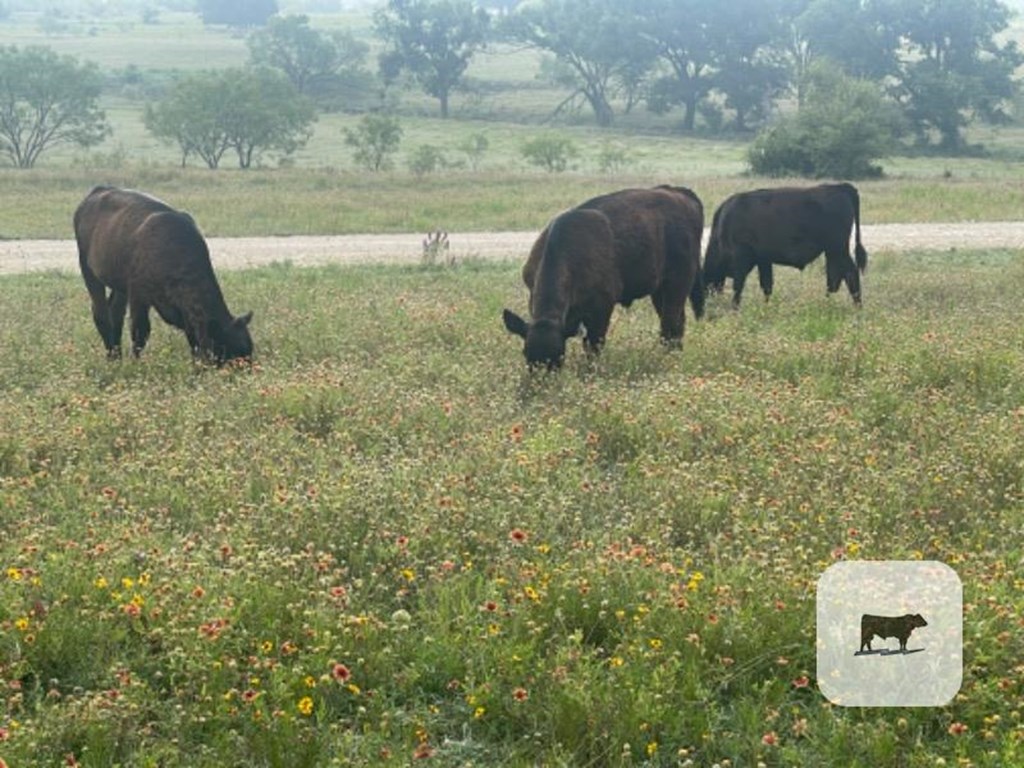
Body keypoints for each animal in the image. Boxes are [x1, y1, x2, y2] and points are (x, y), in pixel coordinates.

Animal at [74, 187, 253, 366]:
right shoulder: (138, 295)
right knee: (101, 313)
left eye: (249, 350)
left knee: (115, 313)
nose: (248, 369)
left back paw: (116, 357)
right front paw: (135, 364)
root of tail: (99, 190)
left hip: (119, 284)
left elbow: (192, 338)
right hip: (87, 268)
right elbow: (140, 332)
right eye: (227, 350)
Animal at [501, 183, 704, 370]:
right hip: (659, 290)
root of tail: (679, 192)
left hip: (678, 284)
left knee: (670, 324)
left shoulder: (602, 308)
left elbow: (593, 345)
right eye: (526, 353)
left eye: (559, 356)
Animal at [708, 182, 868, 307]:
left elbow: (738, 286)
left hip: (838, 249)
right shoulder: (763, 260)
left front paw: (734, 308)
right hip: (833, 252)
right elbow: (766, 285)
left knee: (850, 274)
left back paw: (857, 307)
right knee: (835, 278)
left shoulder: (741, 257)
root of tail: (840, 187)